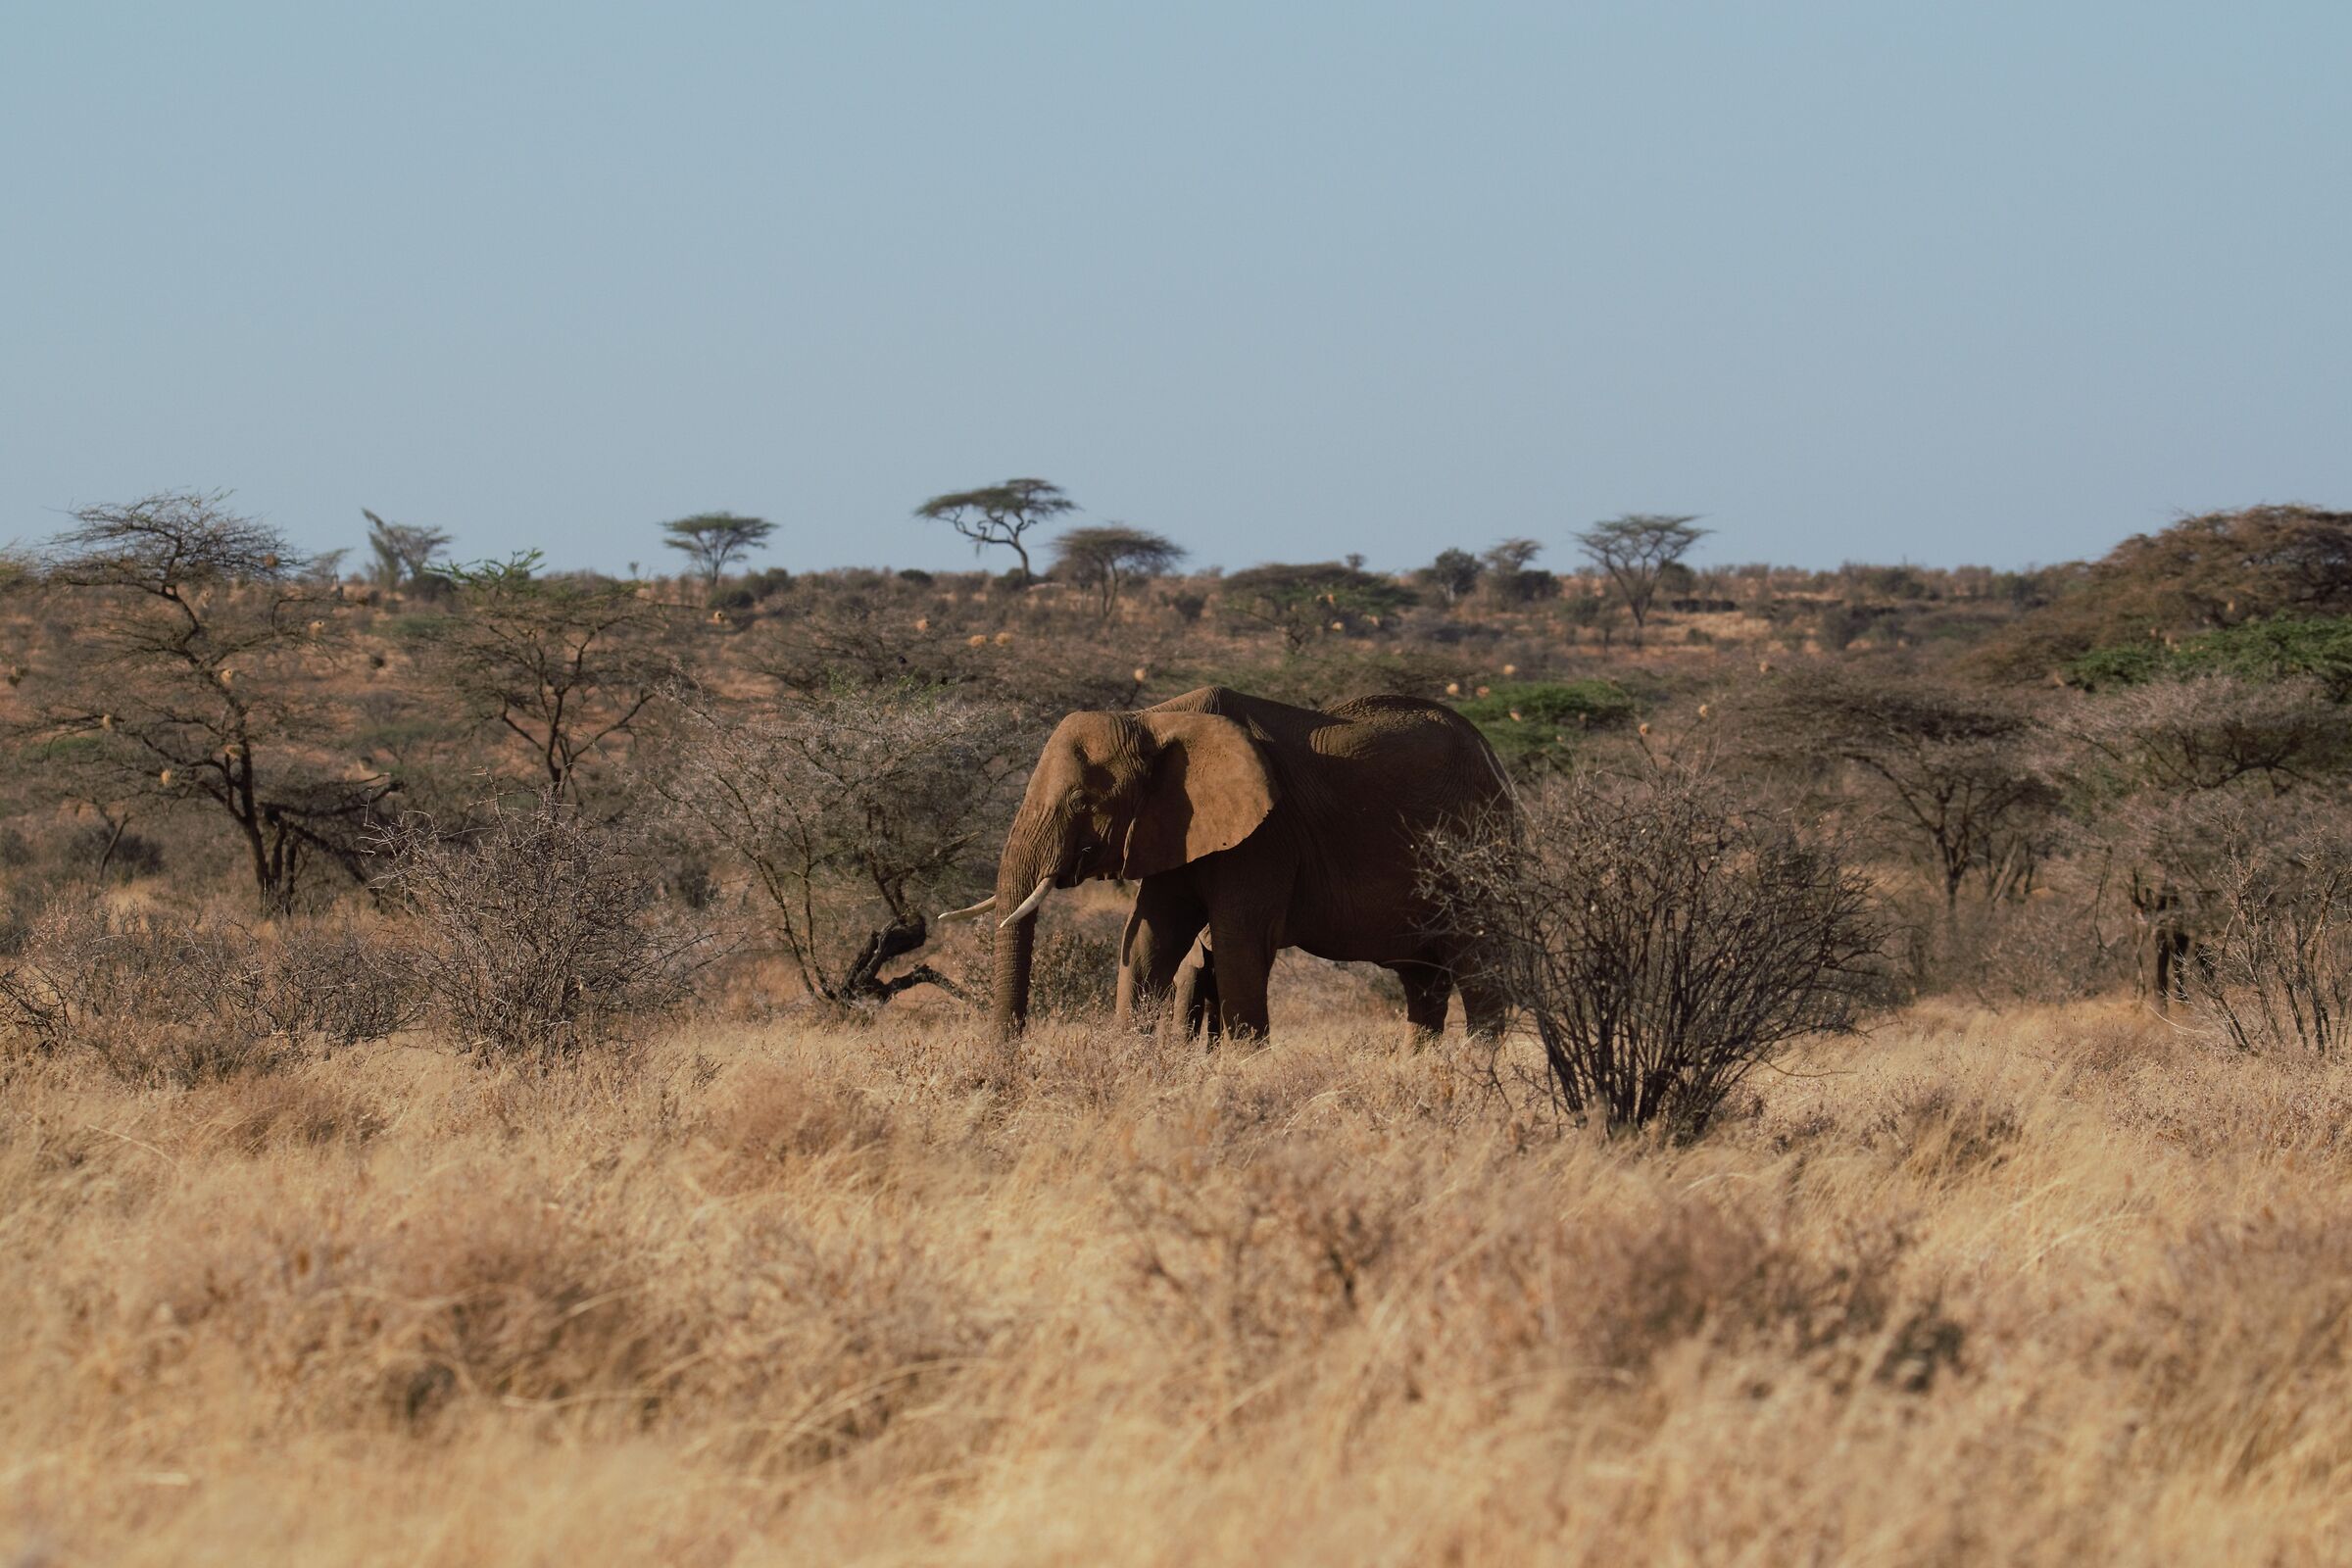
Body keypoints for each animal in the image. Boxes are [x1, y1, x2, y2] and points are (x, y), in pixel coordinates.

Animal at [941, 685, 1514, 1041]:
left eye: (1083, 801)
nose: (1006, 1066)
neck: (1155, 720)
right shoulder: (1172, 827)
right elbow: (1148, 938)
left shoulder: (1264, 836)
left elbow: (1241, 941)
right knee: (1423, 982)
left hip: (1482, 847)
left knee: (1478, 968)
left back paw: (1473, 1070)